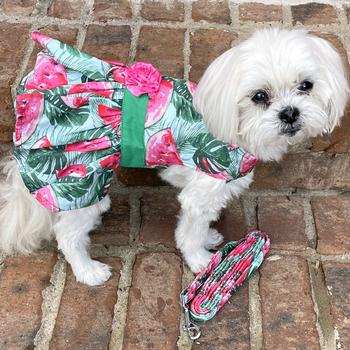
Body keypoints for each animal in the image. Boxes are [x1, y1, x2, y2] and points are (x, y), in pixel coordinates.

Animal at [0, 28, 348, 286]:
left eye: (306, 86)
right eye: (259, 96)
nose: (290, 113)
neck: (234, 130)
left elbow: (199, 222)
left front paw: (208, 237)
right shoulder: (204, 188)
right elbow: (189, 231)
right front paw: (201, 260)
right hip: (83, 181)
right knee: (67, 233)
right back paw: (88, 271)